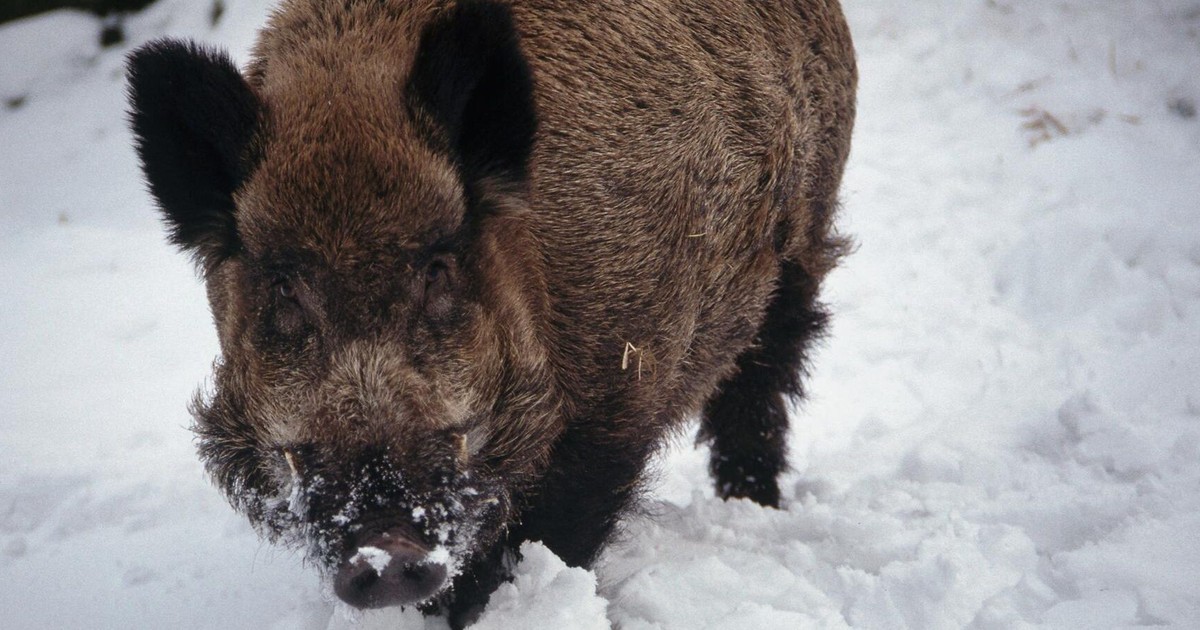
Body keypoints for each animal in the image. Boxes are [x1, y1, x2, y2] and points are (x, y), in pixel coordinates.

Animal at [126, 0, 855, 625]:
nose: (386, 550)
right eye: (283, 288)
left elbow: (549, 539)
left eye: (437, 270)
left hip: (805, 236)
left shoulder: (619, 396)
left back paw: (753, 503)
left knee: (766, 373)